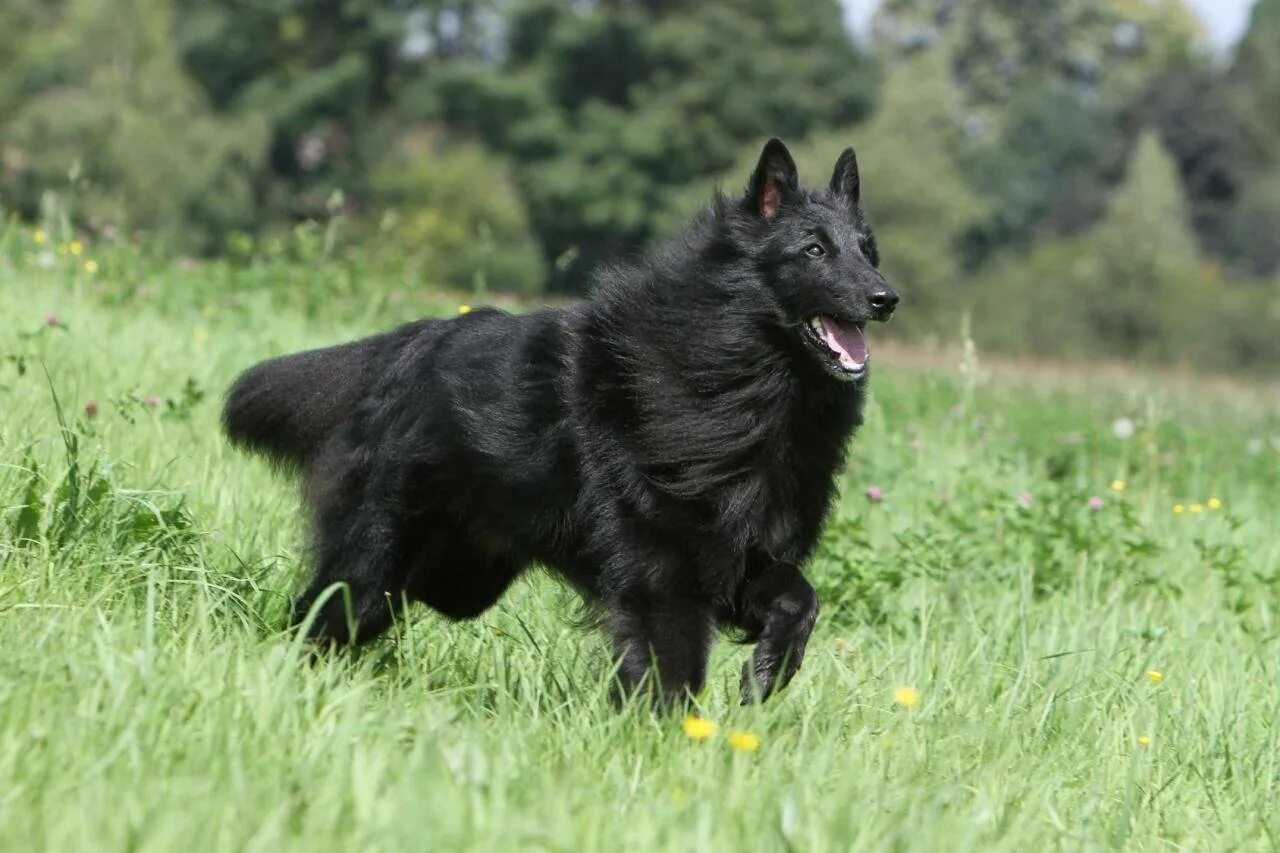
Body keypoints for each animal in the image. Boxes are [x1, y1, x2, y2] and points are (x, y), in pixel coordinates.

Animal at [225, 136, 896, 701]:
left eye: (869, 252)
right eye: (814, 250)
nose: (887, 298)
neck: (736, 378)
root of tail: (413, 343)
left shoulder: (738, 561)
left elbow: (799, 599)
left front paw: (767, 674)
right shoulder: (662, 574)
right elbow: (672, 670)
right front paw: (670, 743)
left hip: (457, 578)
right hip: (378, 566)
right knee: (318, 615)